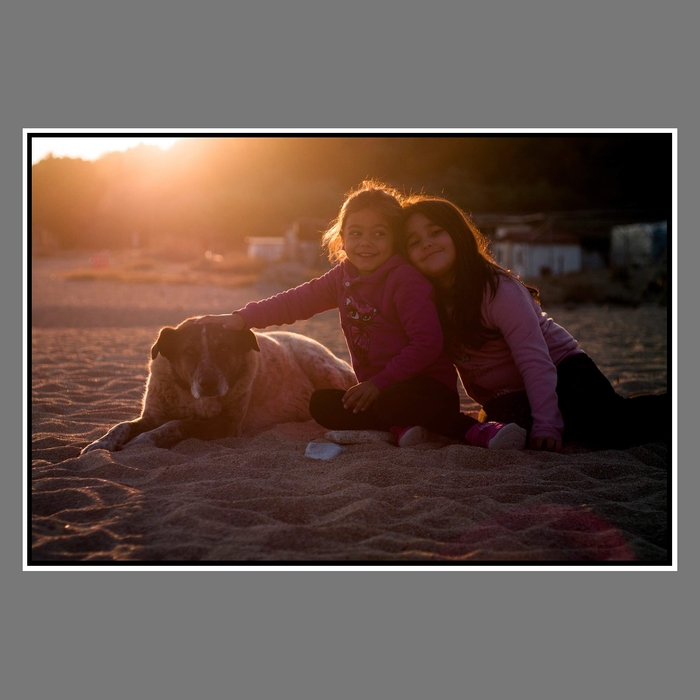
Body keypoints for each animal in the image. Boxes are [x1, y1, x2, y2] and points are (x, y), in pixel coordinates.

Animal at [81, 318, 356, 452]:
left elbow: (177, 424)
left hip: (320, 366)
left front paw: (142, 441)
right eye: (189, 352)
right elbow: (122, 425)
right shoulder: (152, 415)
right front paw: (100, 443)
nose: (208, 384)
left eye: (223, 349)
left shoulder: (226, 424)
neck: (191, 398)